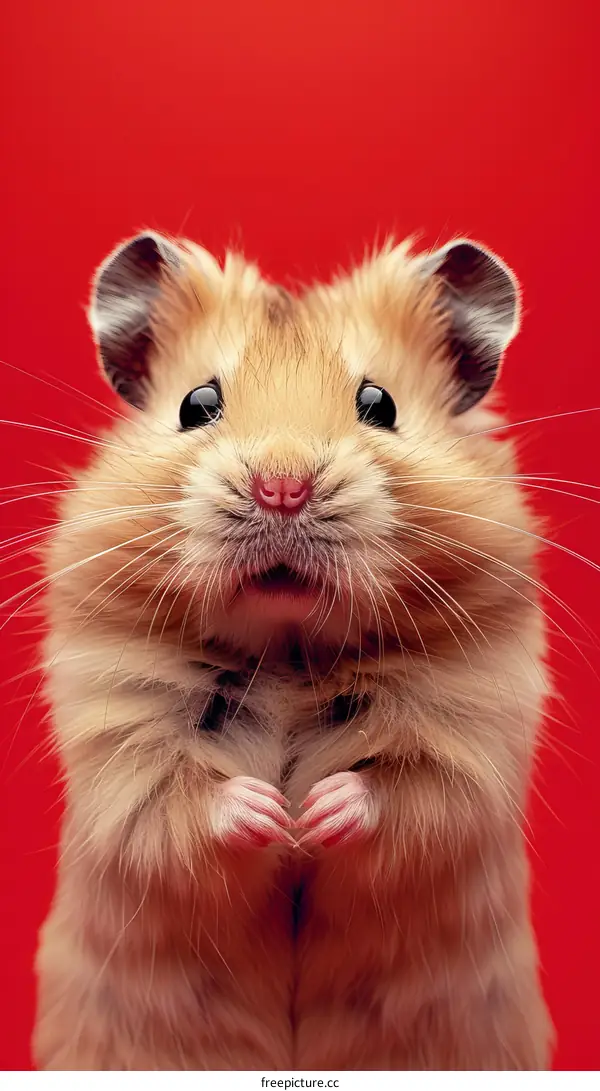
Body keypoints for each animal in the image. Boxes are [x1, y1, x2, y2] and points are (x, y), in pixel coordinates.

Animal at [33, 231, 553, 1070]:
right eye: (196, 404)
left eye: (380, 404)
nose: (282, 486)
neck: (287, 647)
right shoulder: (123, 750)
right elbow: (179, 807)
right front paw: (272, 811)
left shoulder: (468, 741)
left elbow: (409, 799)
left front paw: (316, 809)